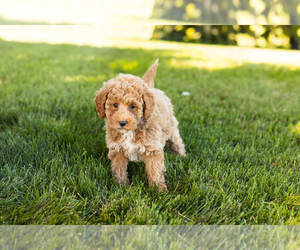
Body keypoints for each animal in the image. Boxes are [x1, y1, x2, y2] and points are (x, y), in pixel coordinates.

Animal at [95, 60, 185, 191]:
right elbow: (119, 169)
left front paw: (159, 191)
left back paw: (181, 155)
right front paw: (121, 186)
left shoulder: (153, 149)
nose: (122, 122)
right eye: (115, 104)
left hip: (172, 128)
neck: (131, 131)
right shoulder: (118, 150)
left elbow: (155, 170)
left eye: (133, 106)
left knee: (177, 142)